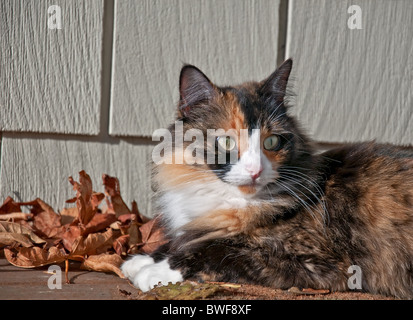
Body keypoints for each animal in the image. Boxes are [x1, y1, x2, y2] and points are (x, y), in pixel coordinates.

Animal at [120, 58, 412, 298]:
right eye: (226, 141)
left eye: (271, 142)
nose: (255, 170)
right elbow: (184, 241)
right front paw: (141, 259)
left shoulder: (315, 260)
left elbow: (218, 251)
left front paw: (155, 271)